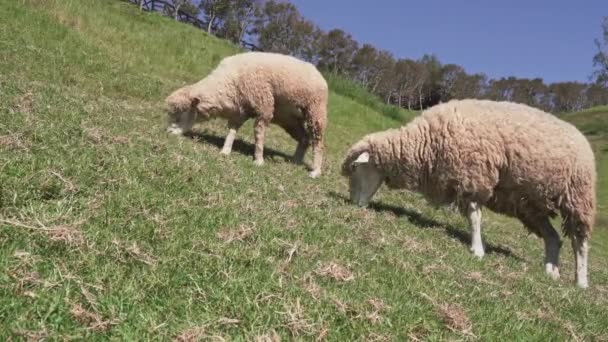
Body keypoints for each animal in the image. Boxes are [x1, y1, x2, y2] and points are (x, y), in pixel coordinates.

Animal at [164, 52, 328, 179]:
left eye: (179, 116)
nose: (168, 132)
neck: (228, 82)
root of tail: (319, 74)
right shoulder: (241, 110)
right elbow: (232, 130)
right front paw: (225, 151)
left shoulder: (264, 105)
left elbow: (258, 133)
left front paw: (259, 160)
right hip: (289, 119)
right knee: (304, 138)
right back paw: (295, 161)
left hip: (315, 111)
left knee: (318, 142)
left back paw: (315, 171)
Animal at [342, 99, 600, 288]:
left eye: (355, 168)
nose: (353, 204)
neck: (426, 144)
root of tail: (581, 137)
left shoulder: (473, 177)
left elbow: (474, 217)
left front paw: (477, 250)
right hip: (530, 205)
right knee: (554, 238)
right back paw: (551, 270)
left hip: (578, 197)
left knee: (580, 242)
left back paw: (581, 281)